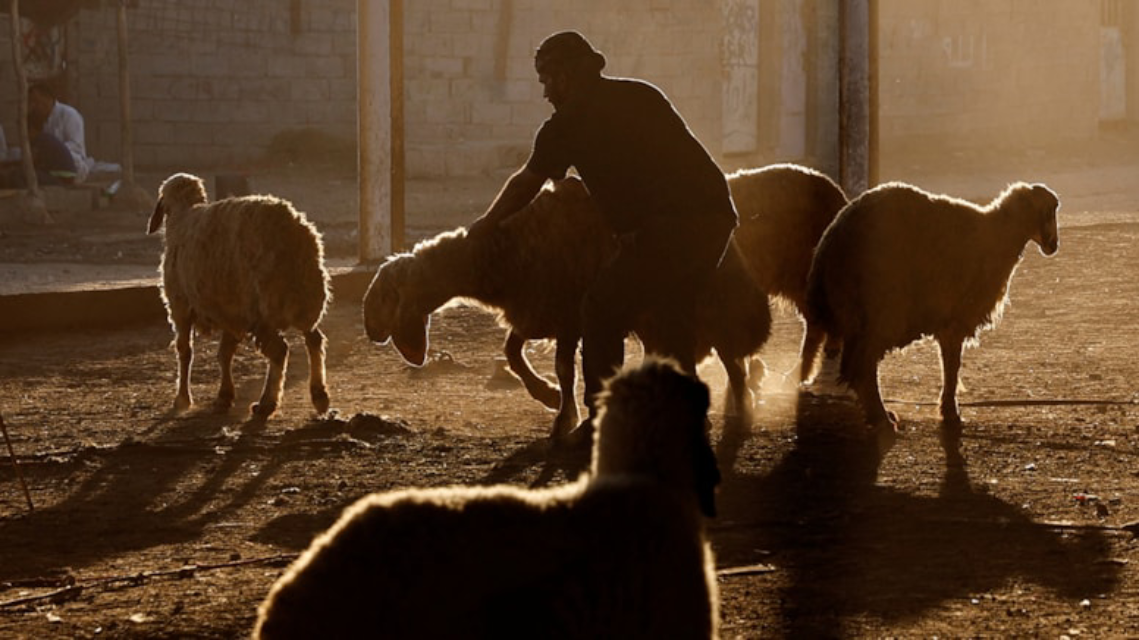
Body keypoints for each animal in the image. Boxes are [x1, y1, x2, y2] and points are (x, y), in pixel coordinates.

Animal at [146, 171, 330, 419]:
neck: (183, 214)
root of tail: (293, 231)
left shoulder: (180, 306)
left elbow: (185, 351)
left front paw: (182, 399)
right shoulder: (230, 311)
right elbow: (225, 353)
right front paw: (224, 395)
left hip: (264, 306)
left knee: (280, 351)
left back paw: (266, 403)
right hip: (306, 298)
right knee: (314, 340)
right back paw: (319, 395)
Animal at [362, 174, 774, 435]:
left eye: (385, 294)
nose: (371, 330)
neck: (502, 251)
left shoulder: (568, 316)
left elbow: (563, 368)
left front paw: (565, 417)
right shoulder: (535, 311)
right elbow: (512, 353)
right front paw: (546, 395)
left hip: (712, 316)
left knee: (734, 366)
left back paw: (741, 408)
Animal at [801, 177, 1056, 453]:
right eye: (1049, 210)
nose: (1054, 245)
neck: (998, 234)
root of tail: (829, 247)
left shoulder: (948, 321)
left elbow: (950, 364)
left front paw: (948, 409)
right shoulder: (956, 318)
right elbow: (952, 366)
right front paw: (951, 412)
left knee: (858, 368)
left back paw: (878, 415)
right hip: (878, 311)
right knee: (862, 369)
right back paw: (881, 418)